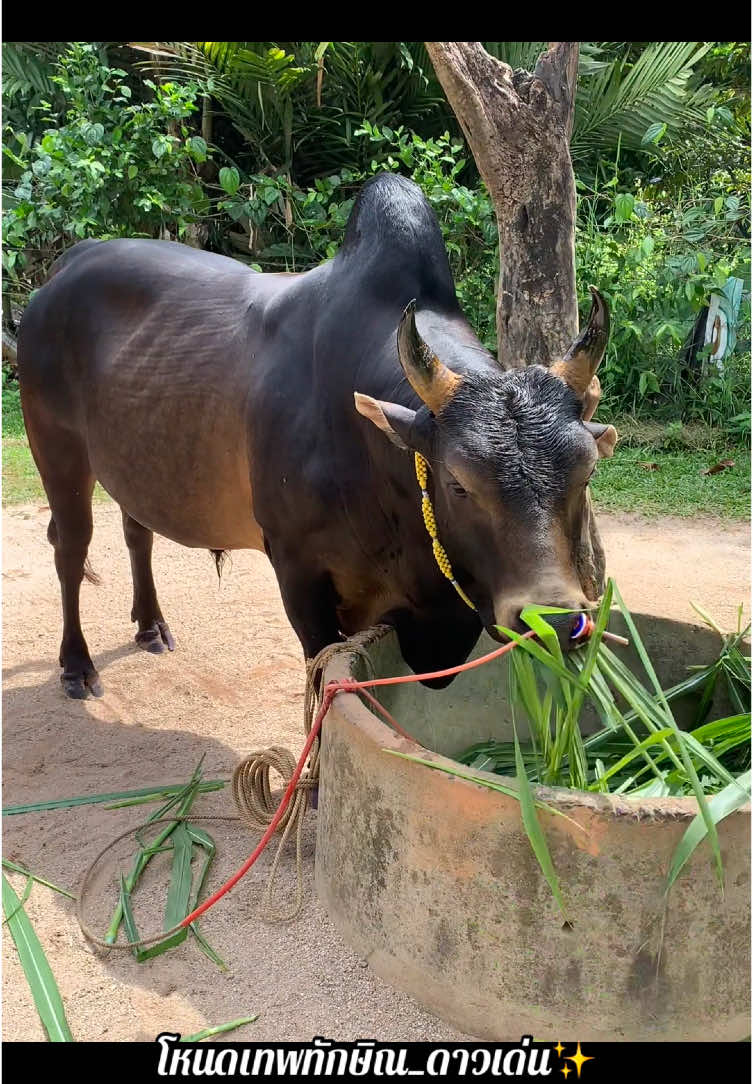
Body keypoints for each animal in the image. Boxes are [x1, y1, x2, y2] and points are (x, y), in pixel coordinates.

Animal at [17, 173, 619, 698]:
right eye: (459, 483)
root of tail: (69, 263)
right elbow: (321, 677)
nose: (555, 620)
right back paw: (77, 666)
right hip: (57, 449)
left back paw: (149, 626)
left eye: (585, 474)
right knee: (70, 547)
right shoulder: (298, 572)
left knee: (136, 530)